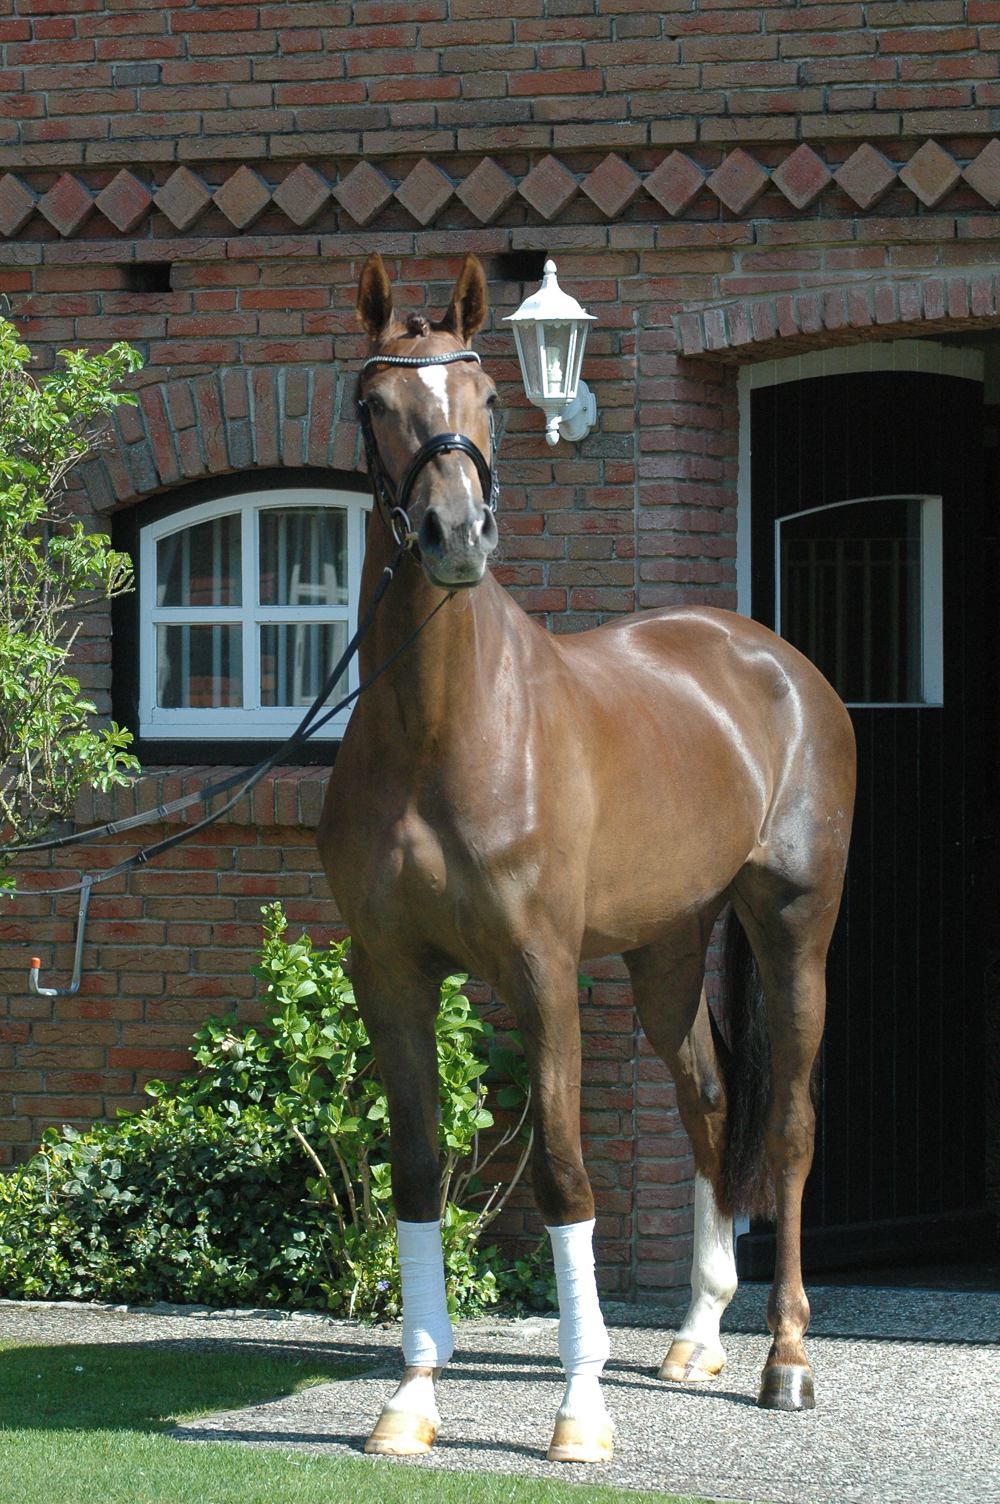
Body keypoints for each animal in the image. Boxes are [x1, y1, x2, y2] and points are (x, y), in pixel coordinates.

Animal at [317, 252, 856, 1464]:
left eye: (488, 398)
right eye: (375, 402)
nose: (454, 537)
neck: (445, 727)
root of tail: (773, 661)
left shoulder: (539, 970)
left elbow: (566, 1175)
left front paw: (579, 1407)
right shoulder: (389, 974)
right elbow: (417, 1169)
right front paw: (410, 1395)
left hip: (791, 928)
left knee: (790, 1128)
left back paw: (786, 1359)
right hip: (666, 947)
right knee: (707, 1098)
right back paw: (696, 1334)